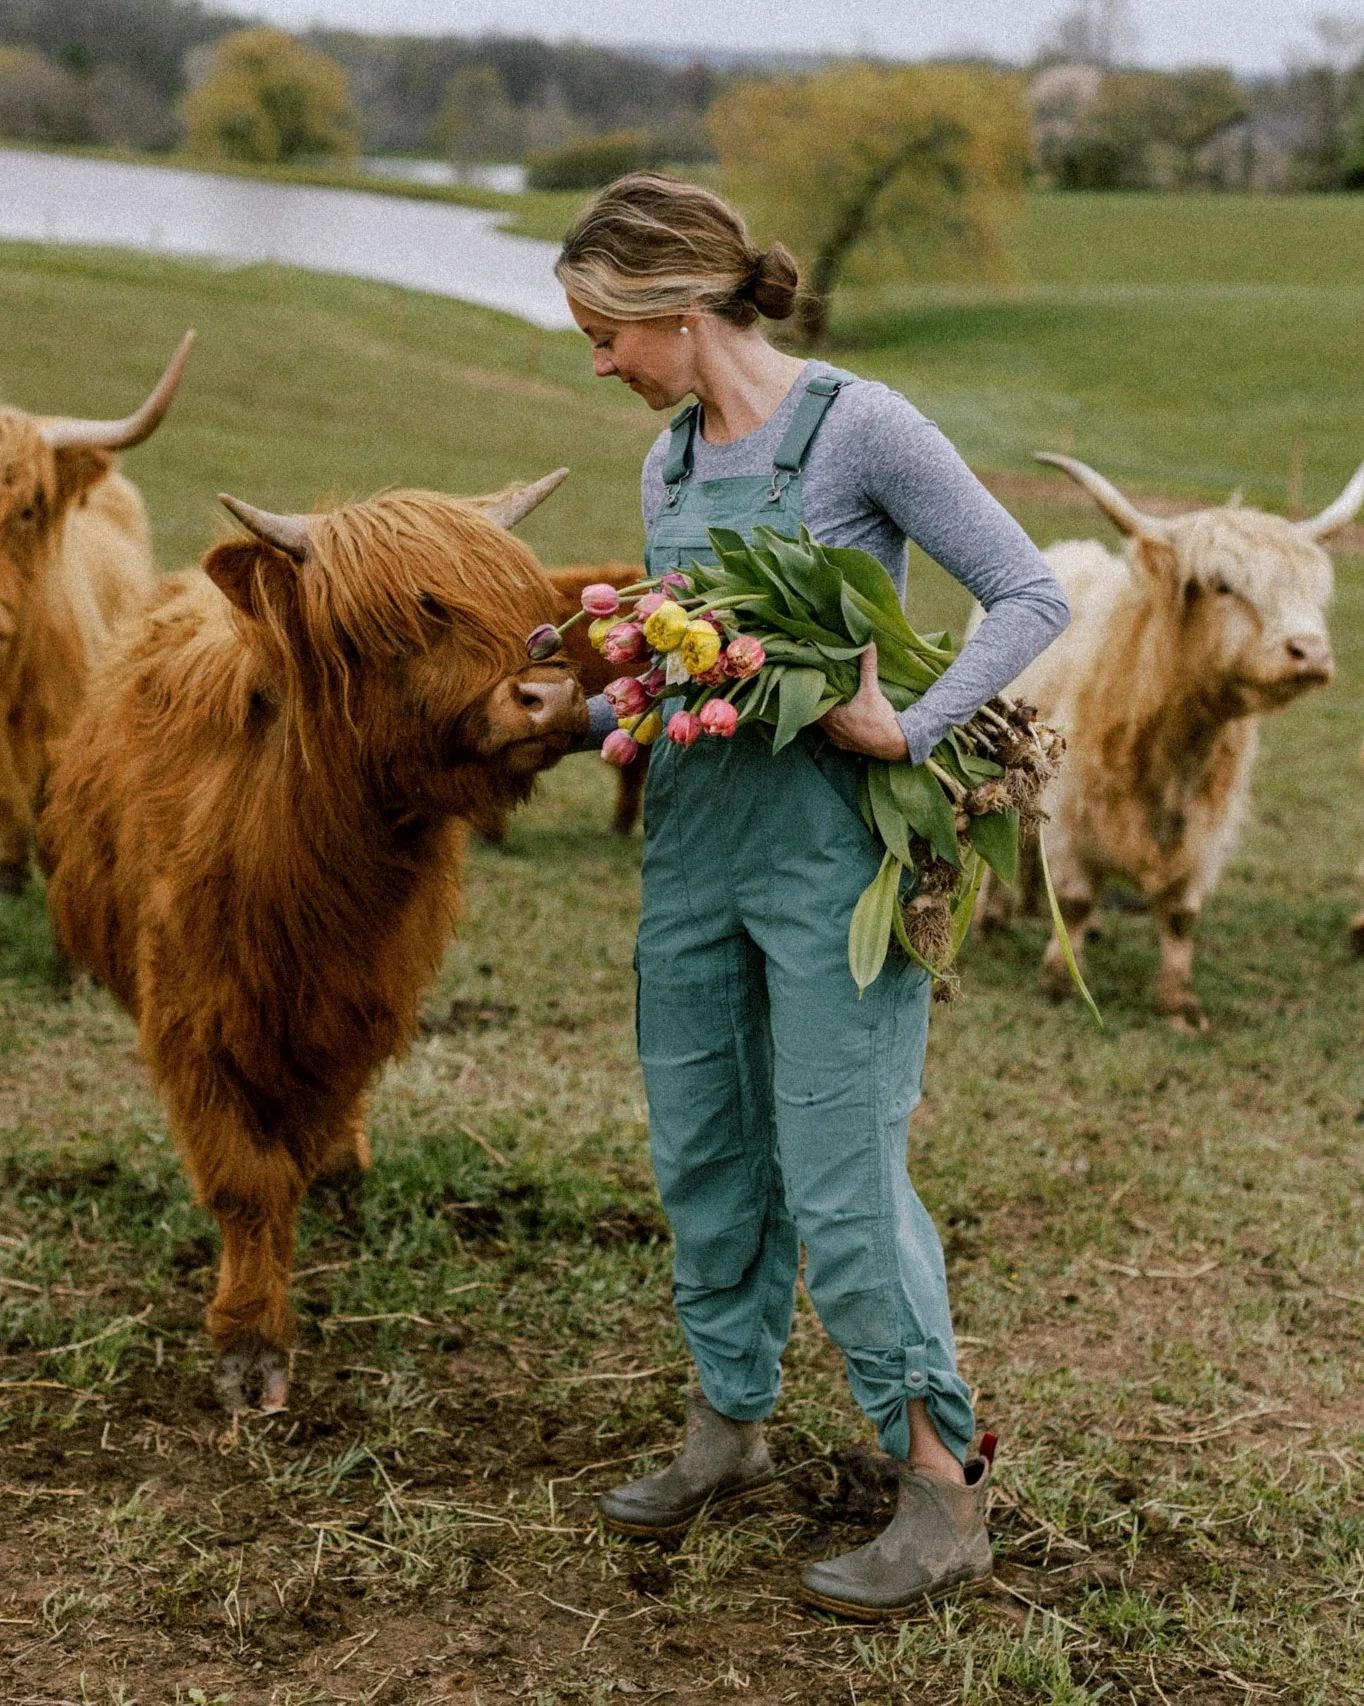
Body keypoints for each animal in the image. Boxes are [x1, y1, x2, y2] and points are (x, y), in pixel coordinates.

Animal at [40, 470, 583, 1412]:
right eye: (396, 621)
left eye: (526, 603)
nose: (546, 697)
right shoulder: (192, 1019)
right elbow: (246, 1180)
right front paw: (249, 1346)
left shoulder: (358, 1007)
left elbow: (293, 1154)